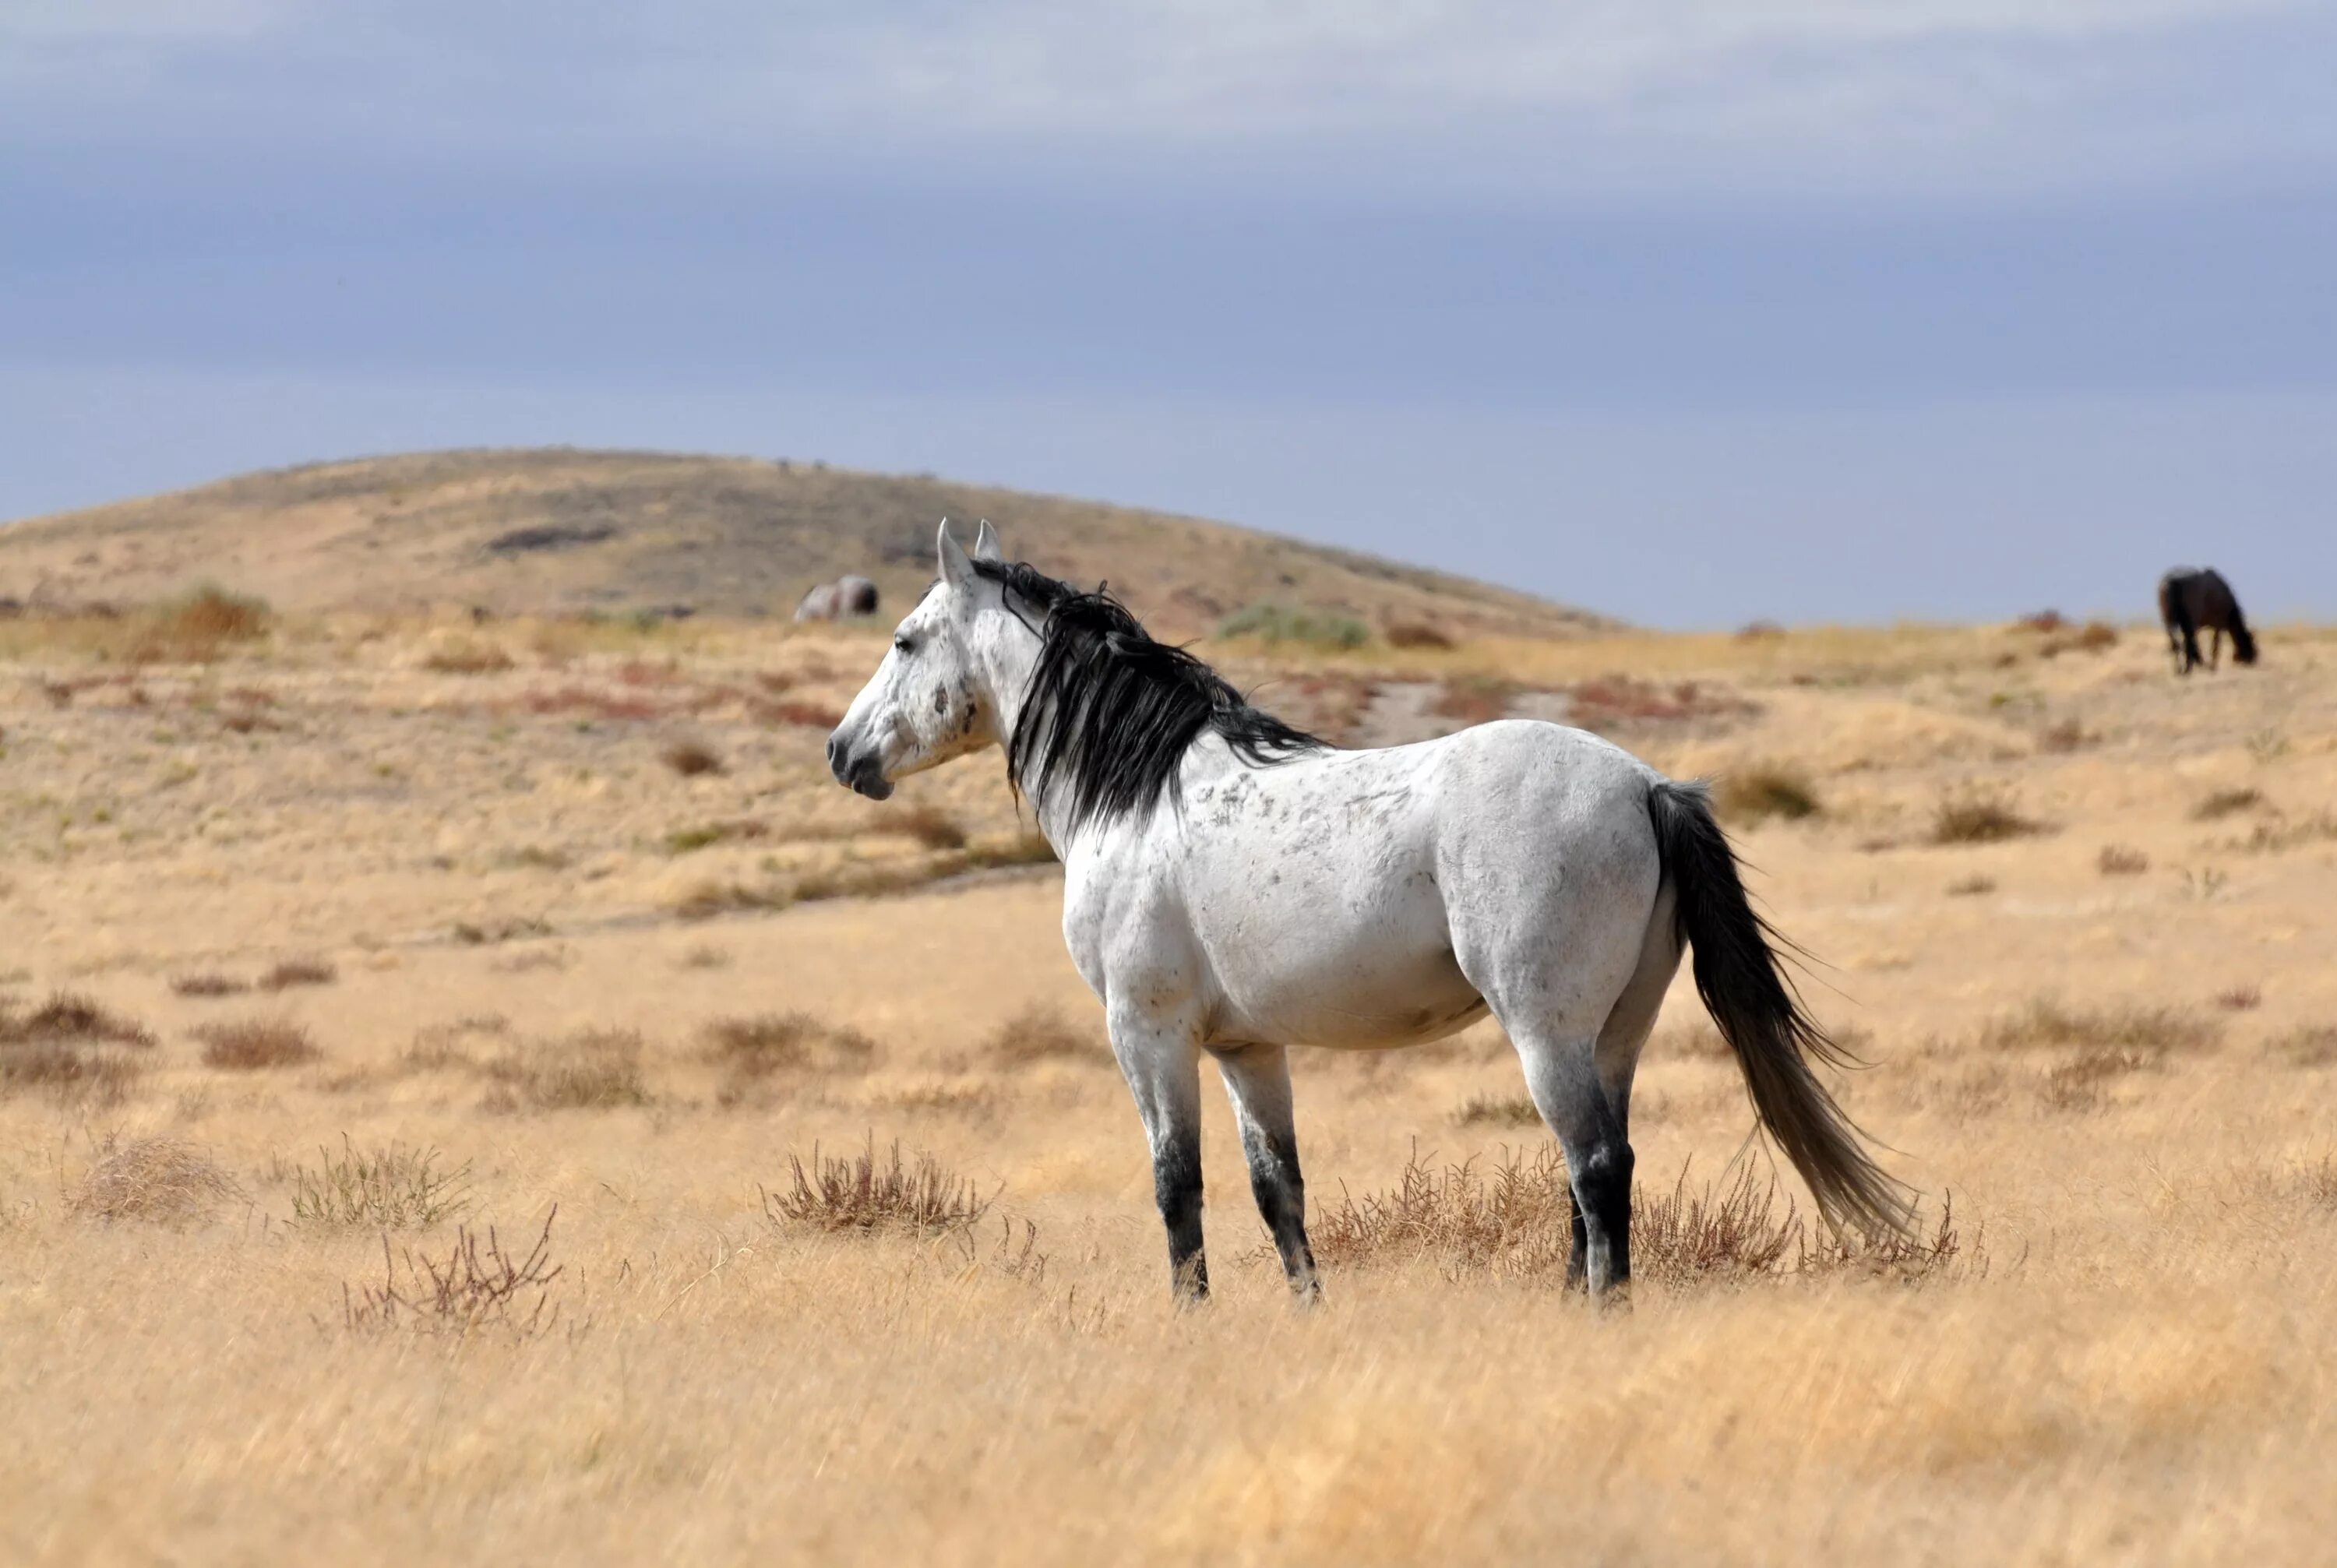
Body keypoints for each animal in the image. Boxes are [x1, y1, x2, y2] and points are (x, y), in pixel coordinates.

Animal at [832, 523, 1907, 1299]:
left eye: (903, 639)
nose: (843, 752)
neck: (1137, 794)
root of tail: (1648, 785)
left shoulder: (1148, 1034)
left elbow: (1178, 1187)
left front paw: (1191, 1320)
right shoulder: (1247, 1049)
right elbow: (1278, 1191)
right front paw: (1307, 1313)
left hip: (1548, 1033)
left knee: (1597, 1166)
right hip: (1615, 1036)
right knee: (1595, 1172)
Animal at [2159, 573, 2253, 678]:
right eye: (2249, 642)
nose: (2253, 659)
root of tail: (2172, 581)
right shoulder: (2218, 626)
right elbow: (2215, 647)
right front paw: (2211, 667)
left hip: (2169, 622)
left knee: (2176, 643)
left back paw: (2180, 670)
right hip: (2190, 622)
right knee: (2186, 643)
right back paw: (2188, 669)